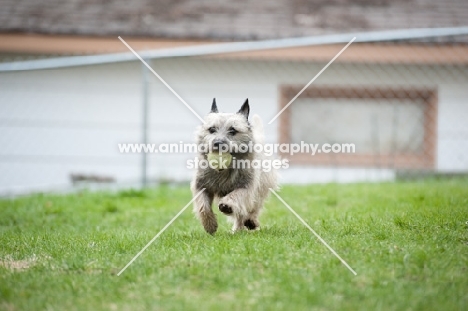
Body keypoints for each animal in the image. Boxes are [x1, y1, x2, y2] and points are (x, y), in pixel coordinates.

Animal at [190, 98, 278, 235]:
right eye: (212, 129)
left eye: (232, 131)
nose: (218, 143)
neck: (224, 171)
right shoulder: (201, 185)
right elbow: (203, 206)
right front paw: (209, 224)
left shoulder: (246, 187)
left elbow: (236, 196)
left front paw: (227, 205)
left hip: (261, 188)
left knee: (251, 208)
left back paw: (247, 223)